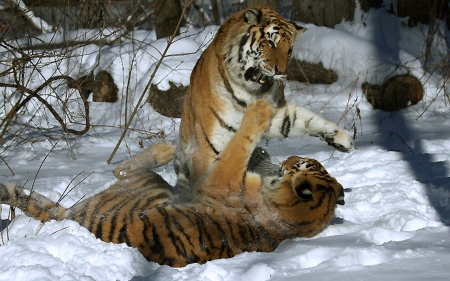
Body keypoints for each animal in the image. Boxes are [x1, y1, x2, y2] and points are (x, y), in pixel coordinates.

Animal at [0, 99, 344, 266]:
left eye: (299, 165)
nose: (289, 159)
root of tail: (75, 219)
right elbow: (243, 149)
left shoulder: (222, 176)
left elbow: (239, 144)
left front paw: (260, 109)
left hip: (146, 186)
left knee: (121, 171)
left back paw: (165, 150)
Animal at [176, 6, 356, 201]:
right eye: (271, 43)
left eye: (289, 50)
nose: (282, 72)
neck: (248, 91)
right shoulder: (207, 149)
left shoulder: (273, 112)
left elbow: (301, 118)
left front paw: (342, 139)